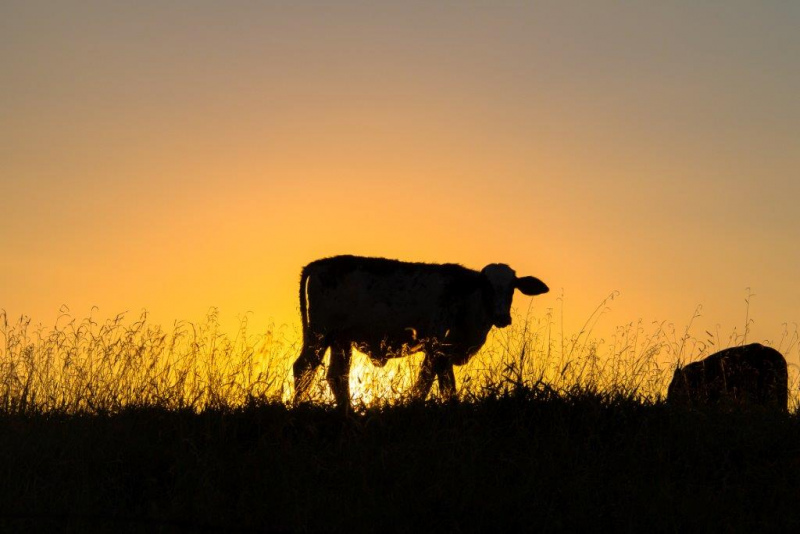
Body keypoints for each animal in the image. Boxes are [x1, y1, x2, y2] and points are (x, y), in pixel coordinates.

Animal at [292, 255, 552, 410]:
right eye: (486, 286)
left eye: (512, 288)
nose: (502, 317)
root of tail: (320, 263)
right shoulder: (437, 346)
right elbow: (433, 383)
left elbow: (434, 383)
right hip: (320, 333)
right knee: (303, 367)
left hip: (341, 338)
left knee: (337, 376)